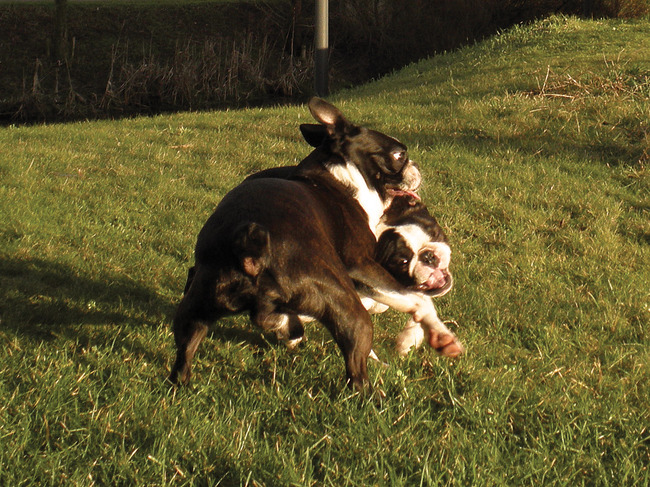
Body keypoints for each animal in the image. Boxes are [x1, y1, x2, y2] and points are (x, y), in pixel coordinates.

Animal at [169, 98, 462, 391]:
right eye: (399, 155)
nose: (416, 166)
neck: (342, 177)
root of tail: (250, 250)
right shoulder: (361, 265)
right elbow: (417, 299)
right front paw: (434, 334)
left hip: (197, 305)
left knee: (186, 355)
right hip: (343, 303)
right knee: (357, 370)